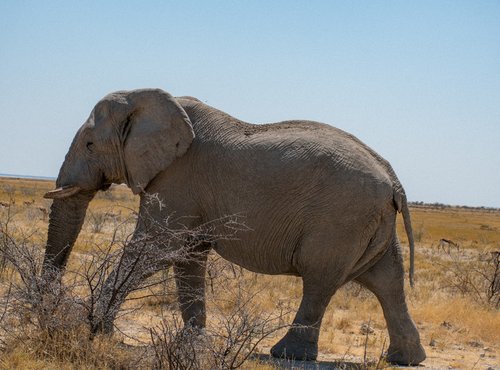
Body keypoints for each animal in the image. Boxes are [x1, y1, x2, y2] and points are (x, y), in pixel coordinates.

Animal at [43, 87, 426, 364]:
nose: (47, 307)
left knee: (320, 279)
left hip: (340, 219)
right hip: (369, 222)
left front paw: (95, 329)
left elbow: (155, 250)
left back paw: (285, 354)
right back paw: (405, 359)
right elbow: (187, 257)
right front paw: (192, 344)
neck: (146, 97)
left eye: (90, 144)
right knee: (386, 281)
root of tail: (394, 180)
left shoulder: (177, 177)